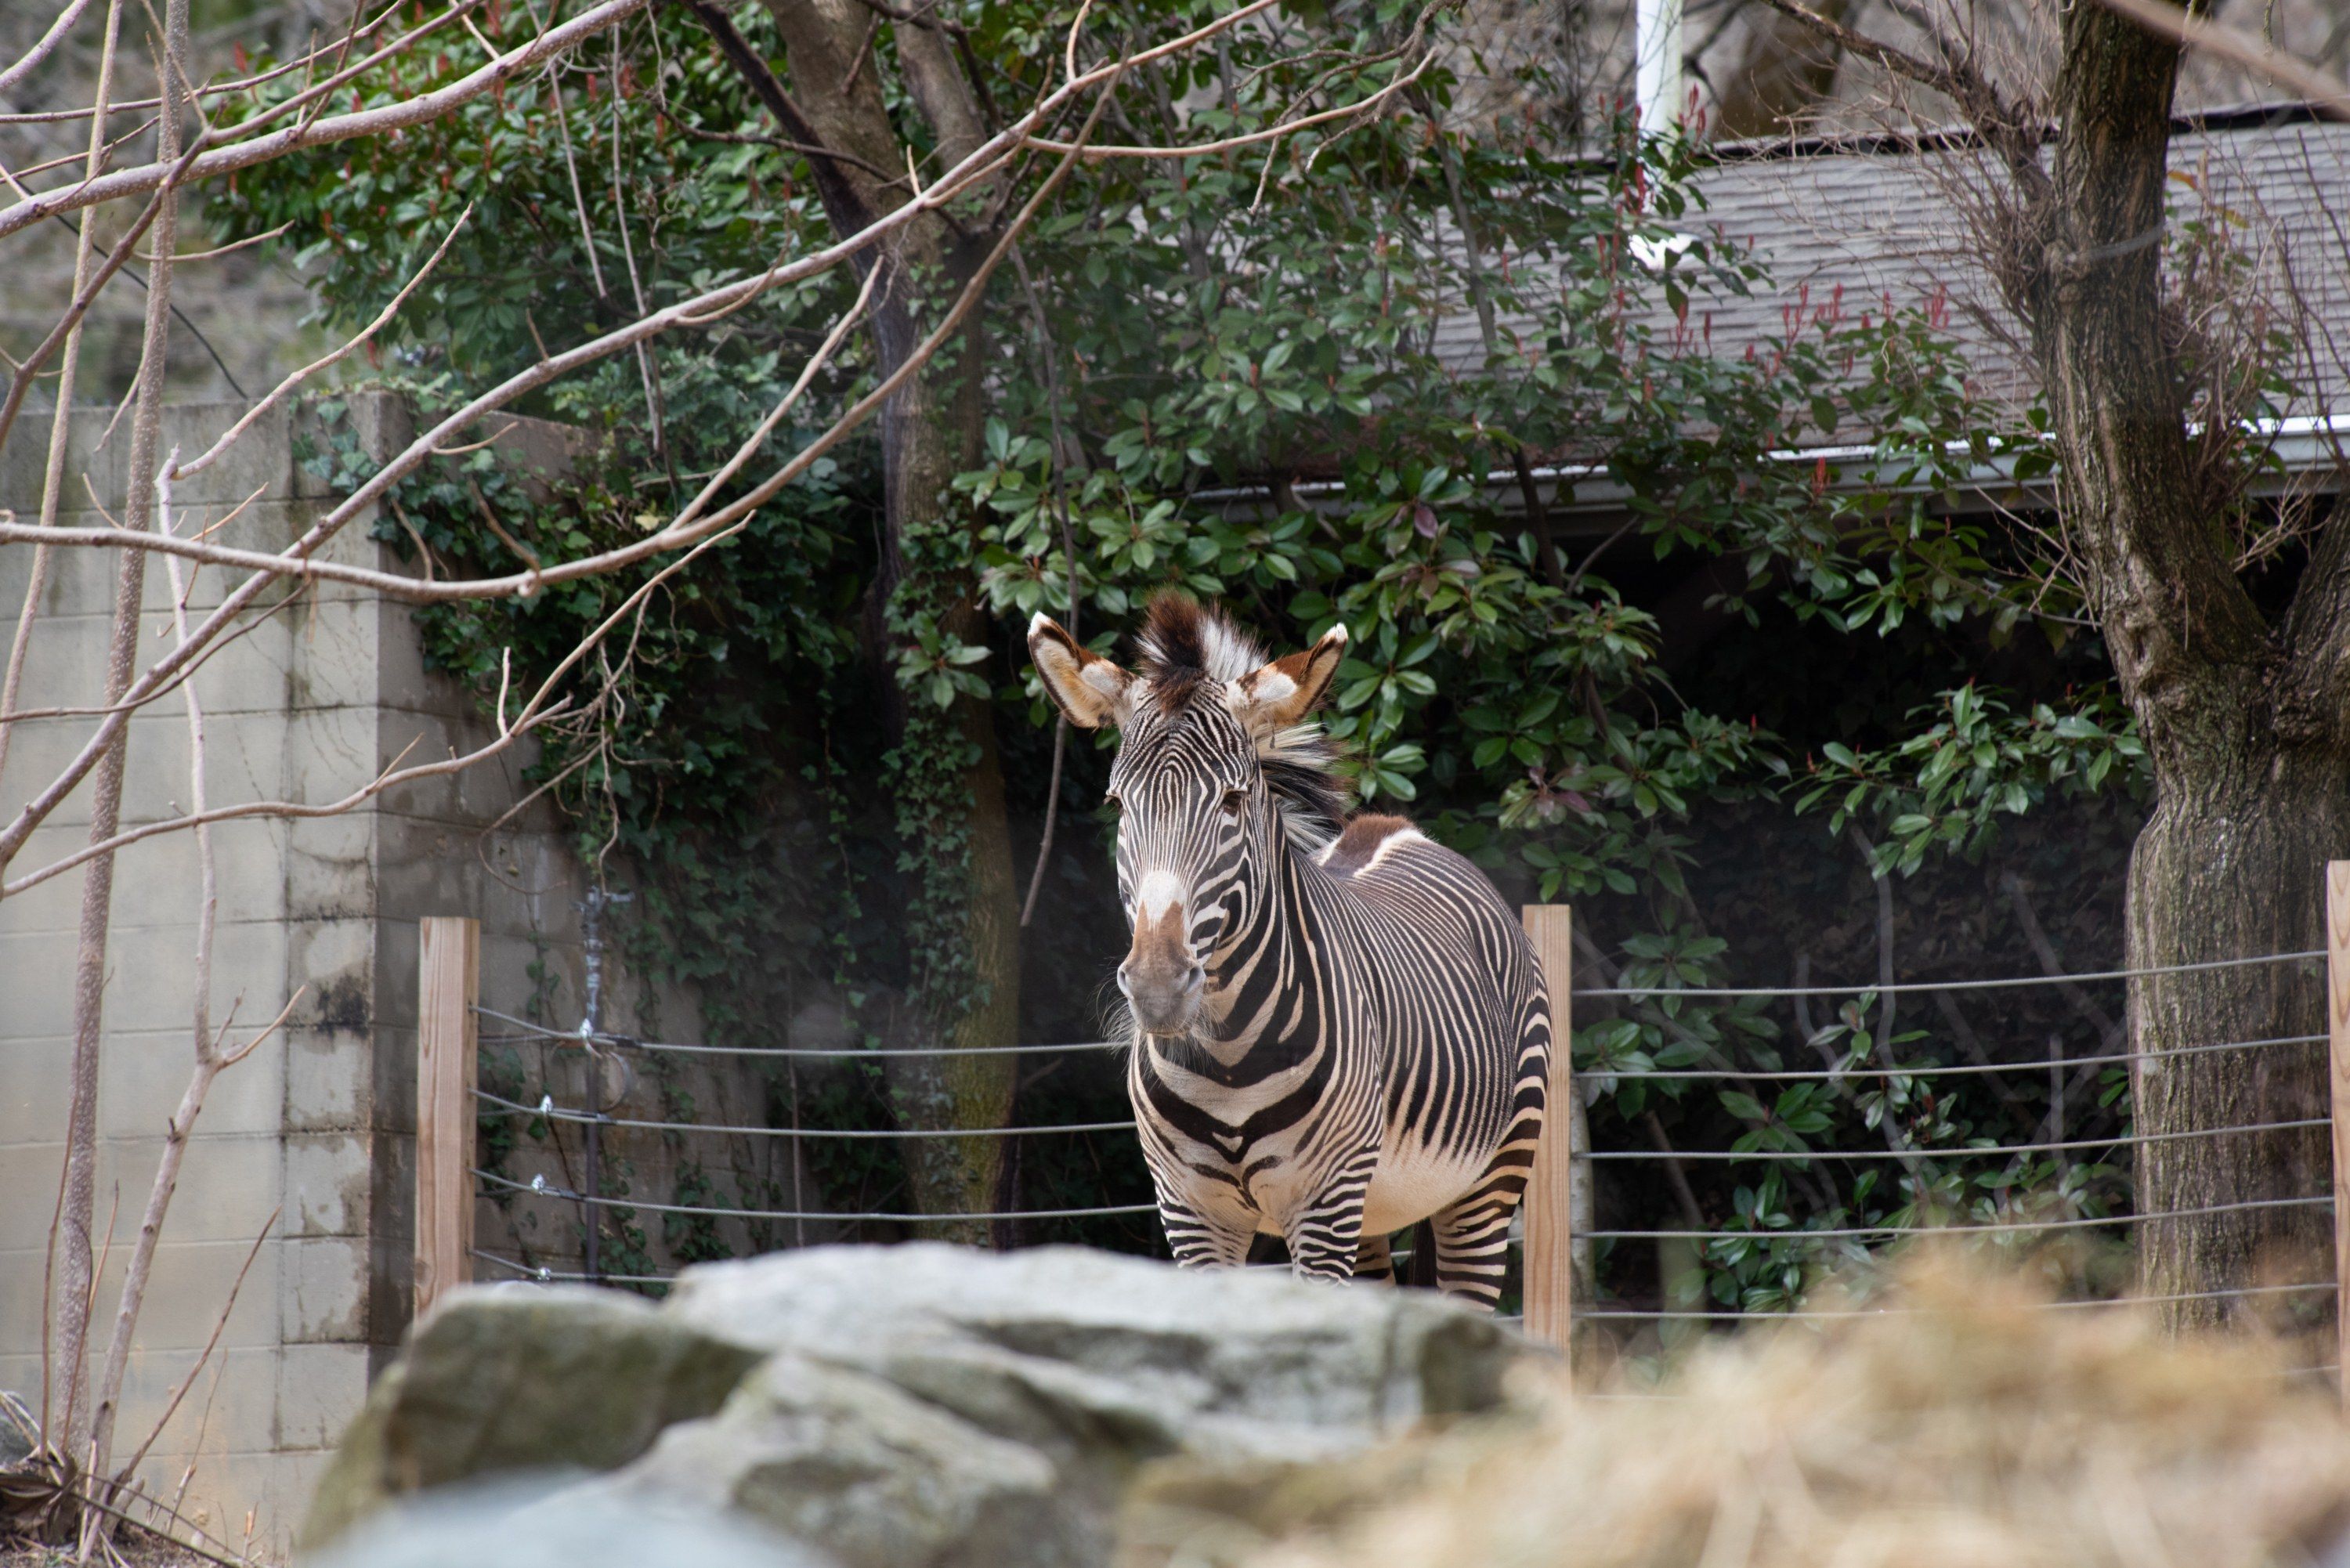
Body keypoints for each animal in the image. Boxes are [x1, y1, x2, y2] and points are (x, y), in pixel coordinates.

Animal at [1027, 593, 1551, 1306]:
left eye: (1233, 799)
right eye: (1117, 804)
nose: (1159, 987)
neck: (1227, 1063)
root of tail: (1398, 830)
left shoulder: (1324, 1204)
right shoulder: (1189, 1212)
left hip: (1487, 1185)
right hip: (1374, 1215)